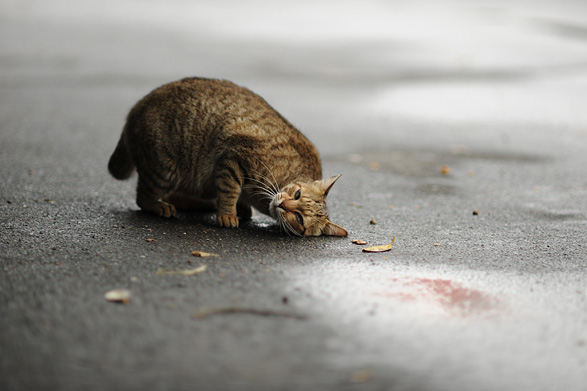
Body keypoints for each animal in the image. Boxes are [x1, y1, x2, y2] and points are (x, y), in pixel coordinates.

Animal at [107, 76, 346, 236]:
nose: (283, 205)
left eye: (299, 218)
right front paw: (228, 213)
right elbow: (230, 190)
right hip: (165, 169)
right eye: (296, 194)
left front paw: (237, 208)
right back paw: (159, 205)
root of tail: (137, 106)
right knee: (142, 197)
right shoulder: (234, 158)